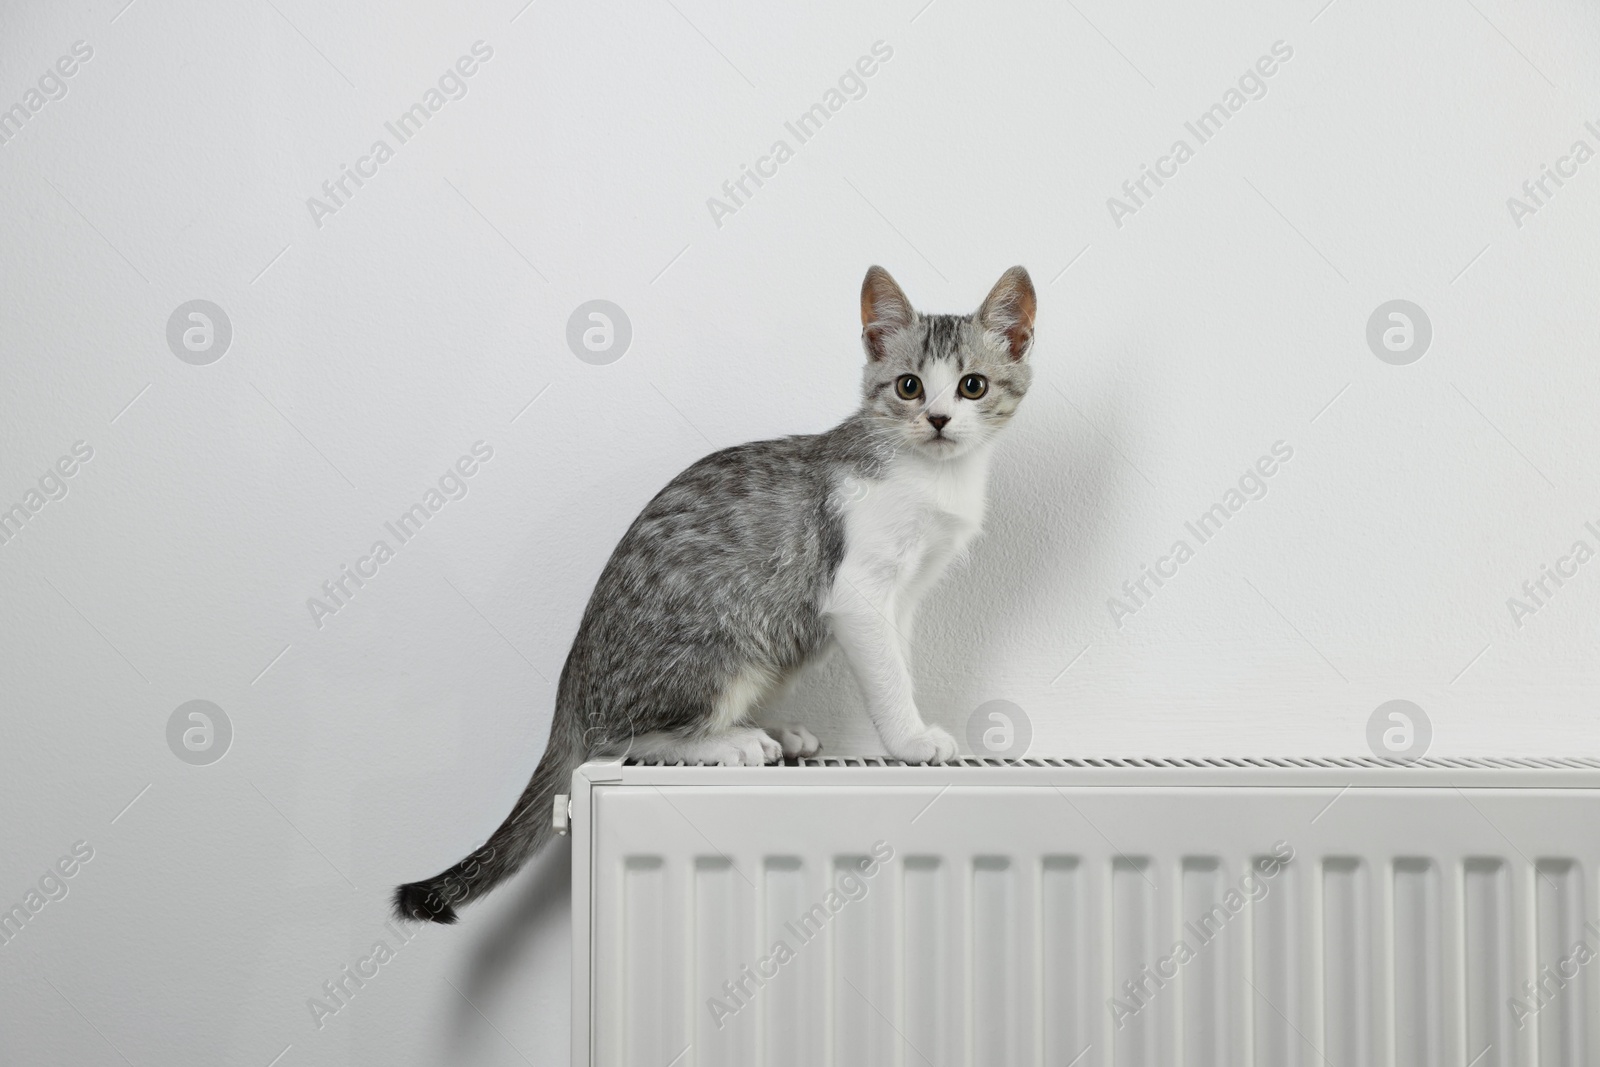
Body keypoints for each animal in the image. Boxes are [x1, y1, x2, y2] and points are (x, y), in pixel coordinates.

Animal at [393, 267, 1030, 927]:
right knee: (622, 738)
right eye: (909, 386)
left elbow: (898, 659)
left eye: (973, 386)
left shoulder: (903, 595)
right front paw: (910, 741)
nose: (938, 419)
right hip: (724, 640)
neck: (932, 476)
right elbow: (886, 674)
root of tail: (572, 679)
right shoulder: (858, 591)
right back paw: (731, 740)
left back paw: (772, 731)